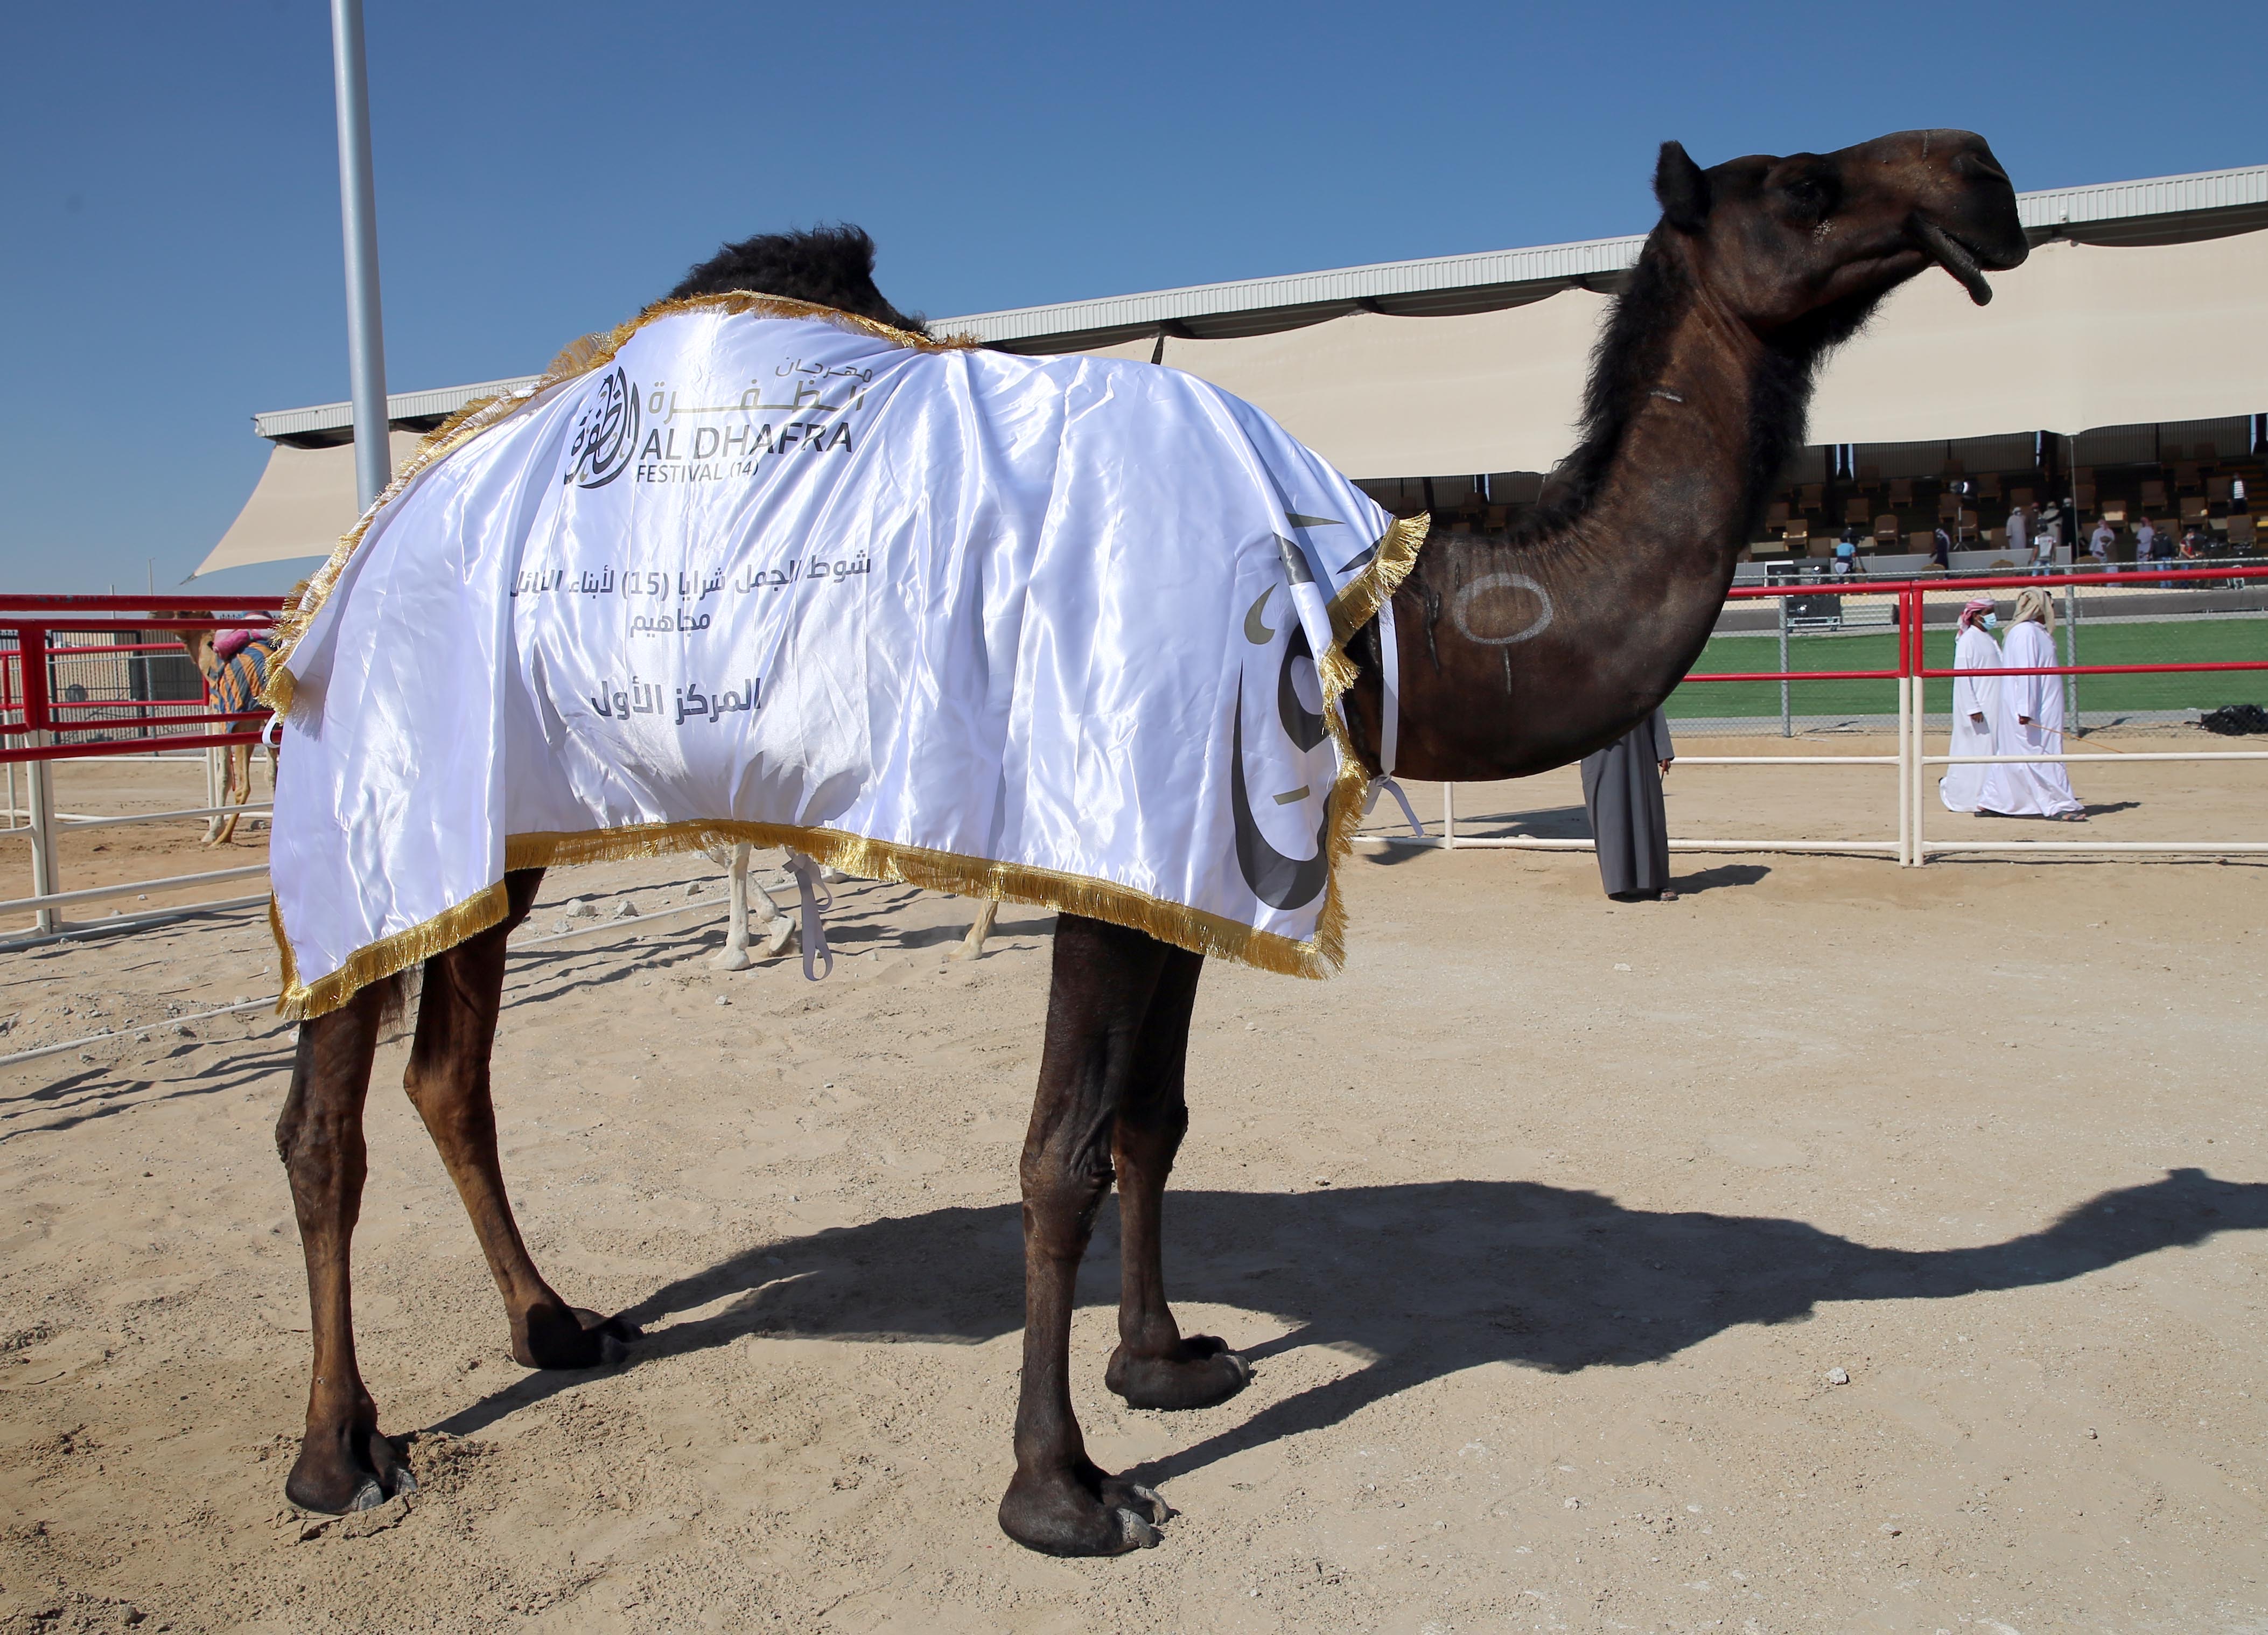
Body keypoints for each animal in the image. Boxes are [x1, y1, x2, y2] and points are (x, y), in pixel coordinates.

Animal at [274, 134, 2032, 1551]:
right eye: (1799, 180)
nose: (1984, 171)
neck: (1346, 600)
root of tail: (353, 544)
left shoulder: (1186, 861)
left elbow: (1152, 1122)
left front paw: (1166, 1359)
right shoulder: (1098, 844)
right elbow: (1055, 1153)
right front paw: (1061, 1489)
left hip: (493, 819)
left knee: (451, 1068)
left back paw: (557, 1326)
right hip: (375, 777)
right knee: (326, 1118)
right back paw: (339, 1452)